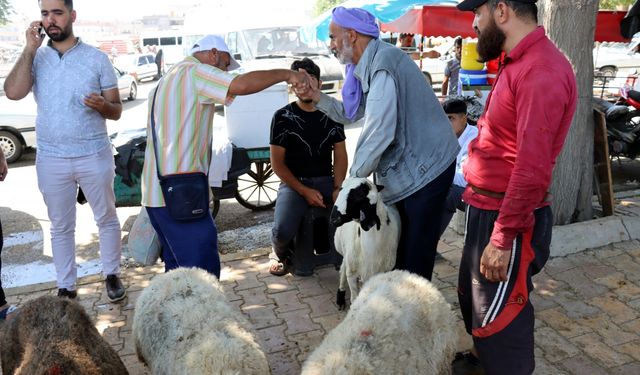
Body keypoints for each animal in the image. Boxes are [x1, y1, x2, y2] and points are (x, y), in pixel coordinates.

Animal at [330, 178, 400, 310]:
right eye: (340, 189)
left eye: (358, 195)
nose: (334, 219)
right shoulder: (352, 274)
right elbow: (354, 299)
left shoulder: (383, 272)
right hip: (345, 252)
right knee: (343, 268)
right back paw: (340, 296)